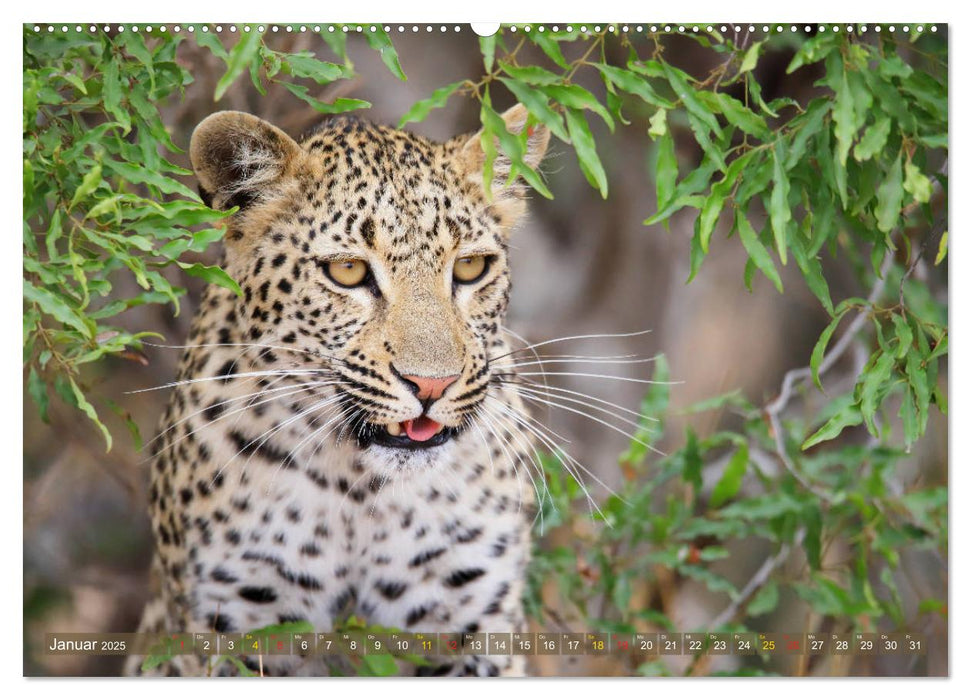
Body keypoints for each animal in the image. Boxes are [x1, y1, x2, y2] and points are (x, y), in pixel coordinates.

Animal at [125, 101, 556, 676]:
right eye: (348, 271)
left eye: (470, 267)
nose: (432, 384)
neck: (362, 492)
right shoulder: (233, 626)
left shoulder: (473, 623)